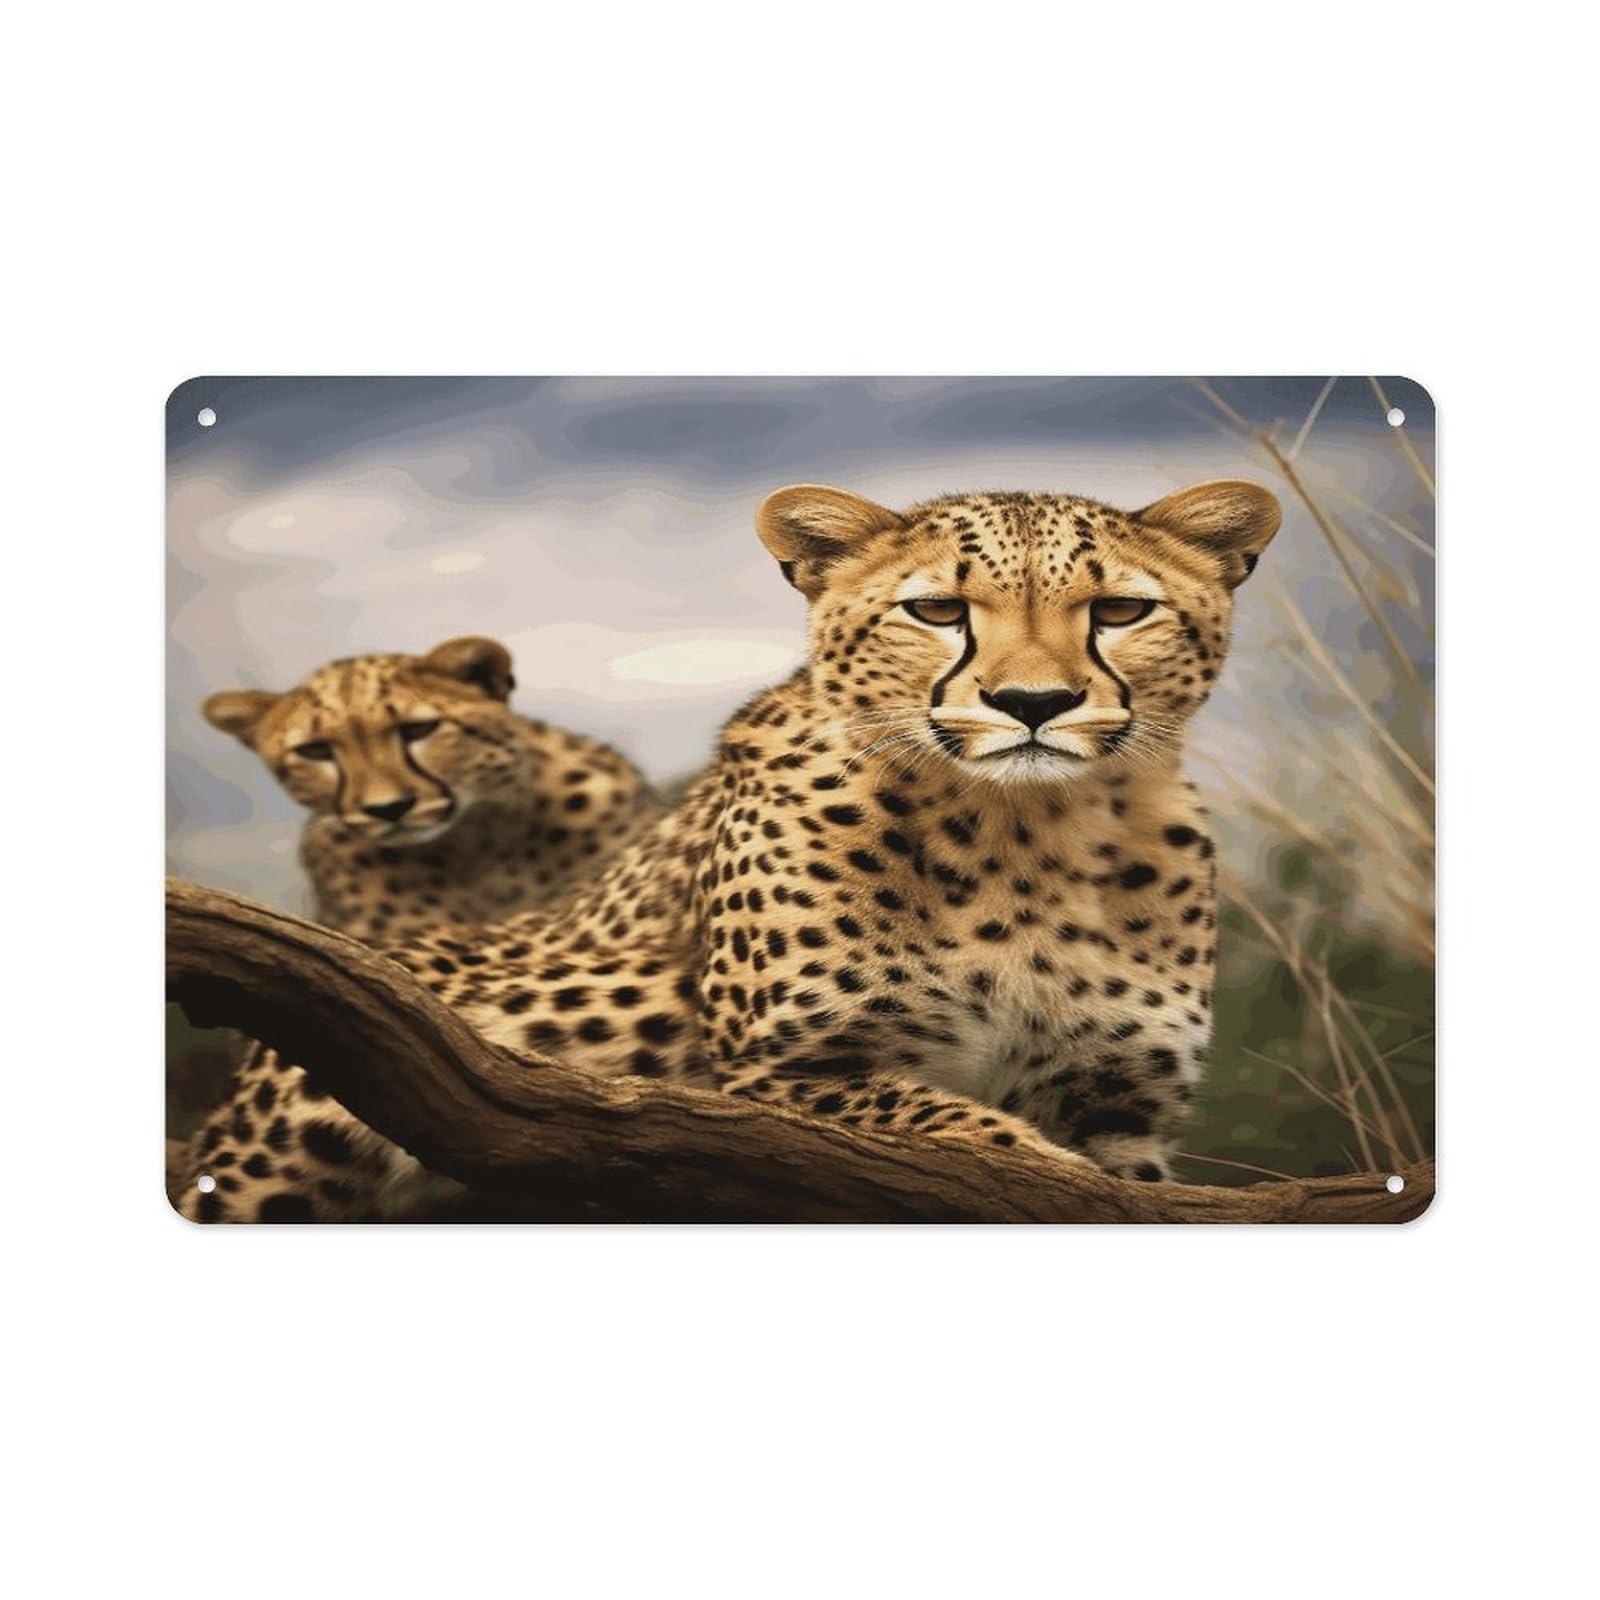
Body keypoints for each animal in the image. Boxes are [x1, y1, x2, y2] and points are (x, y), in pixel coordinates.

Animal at [177, 479, 1280, 1221]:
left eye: (1120, 610)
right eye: (935, 610)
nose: (1033, 704)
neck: (1025, 835)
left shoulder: (1122, 1106)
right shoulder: (770, 1083)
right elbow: (971, 1139)